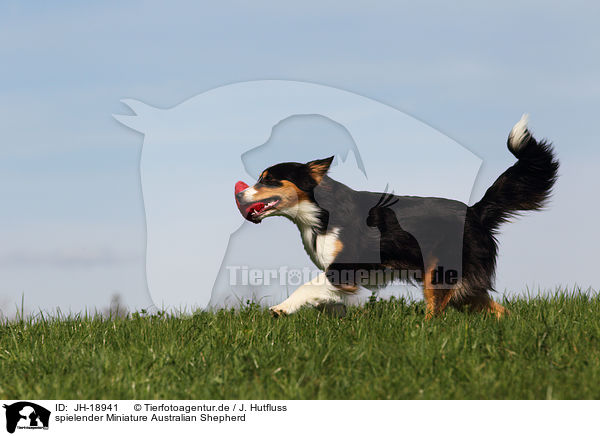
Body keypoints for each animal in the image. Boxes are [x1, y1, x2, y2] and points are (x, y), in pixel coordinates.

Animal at [233, 115, 556, 320]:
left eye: (269, 179)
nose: (238, 195)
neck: (317, 211)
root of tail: (476, 211)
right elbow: (328, 301)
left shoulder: (345, 266)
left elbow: (307, 286)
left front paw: (282, 308)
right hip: (465, 289)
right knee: (501, 312)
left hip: (440, 275)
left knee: (436, 316)